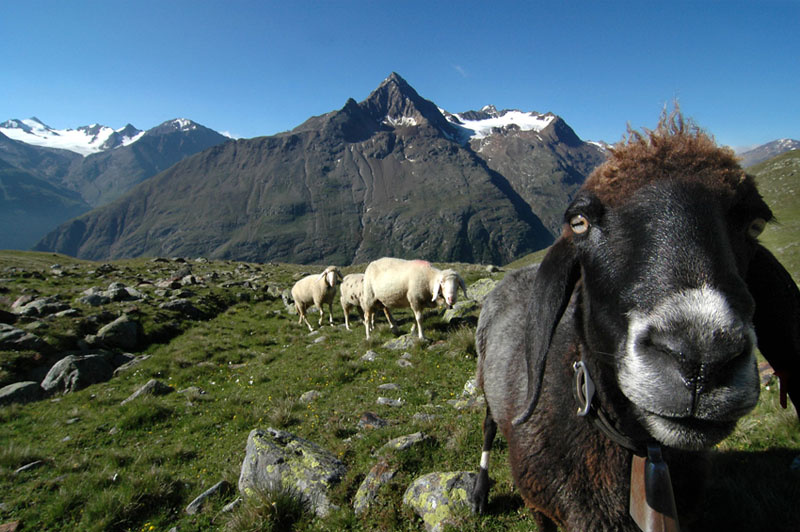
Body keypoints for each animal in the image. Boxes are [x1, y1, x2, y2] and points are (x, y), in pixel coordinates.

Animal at [469, 111, 800, 531]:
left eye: (755, 224)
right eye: (580, 222)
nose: (702, 362)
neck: (640, 448)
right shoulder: (539, 503)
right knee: (488, 425)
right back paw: (479, 491)